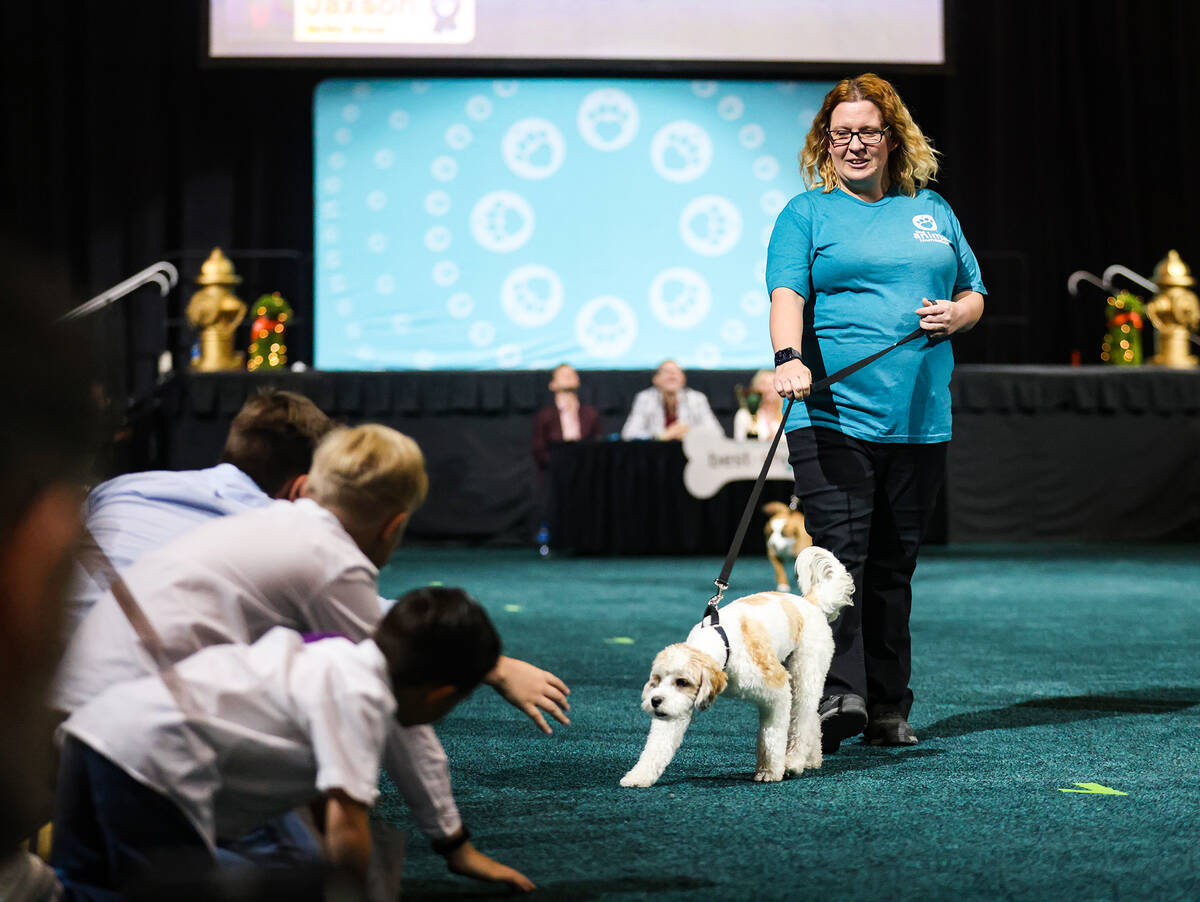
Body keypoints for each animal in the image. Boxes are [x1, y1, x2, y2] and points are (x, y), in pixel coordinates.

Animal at [619, 542, 854, 786]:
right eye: (656, 680)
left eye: (682, 681)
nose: (655, 701)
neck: (723, 644)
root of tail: (810, 603)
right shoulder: (676, 707)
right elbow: (657, 746)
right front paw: (639, 776)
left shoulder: (777, 692)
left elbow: (770, 737)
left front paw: (770, 771)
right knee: (814, 720)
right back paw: (813, 759)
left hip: (805, 673)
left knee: (802, 720)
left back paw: (794, 761)